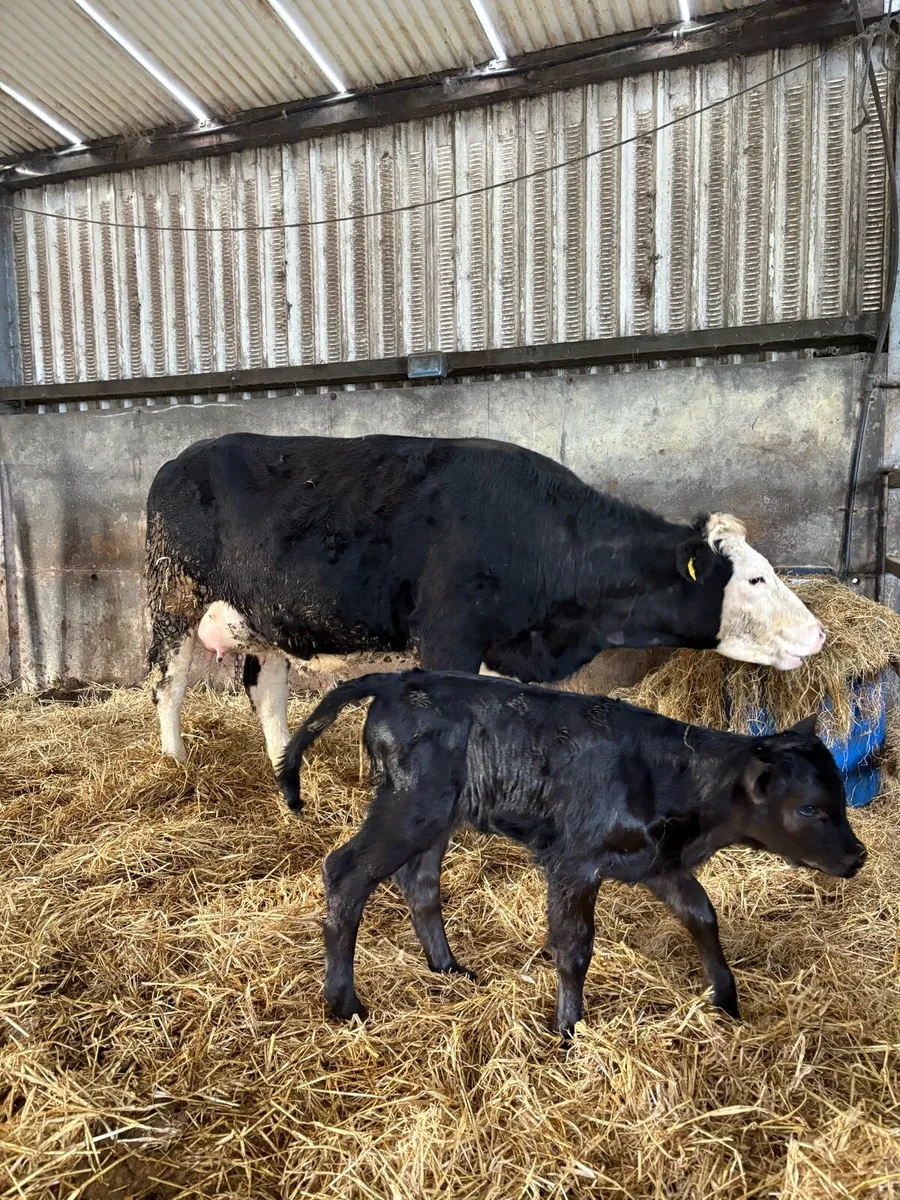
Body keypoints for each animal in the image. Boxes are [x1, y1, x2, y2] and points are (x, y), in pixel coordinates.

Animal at [145, 433, 825, 768]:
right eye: (756, 579)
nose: (820, 633)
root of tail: (179, 458)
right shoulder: (449, 637)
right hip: (170, 597)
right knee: (167, 683)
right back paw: (176, 765)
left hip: (265, 620)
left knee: (267, 689)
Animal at [276, 669, 866, 1036]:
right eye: (810, 808)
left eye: (840, 794)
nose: (857, 857)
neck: (672, 775)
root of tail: (399, 678)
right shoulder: (574, 862)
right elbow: (575, 945)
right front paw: (569, 1029)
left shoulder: (657, 864)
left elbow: (701, 915)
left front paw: (725, 999)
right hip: (410, 807)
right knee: (346, 872)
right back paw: (345, 1004)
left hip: (437, 816)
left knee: (418, 883)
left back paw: (449, 969)